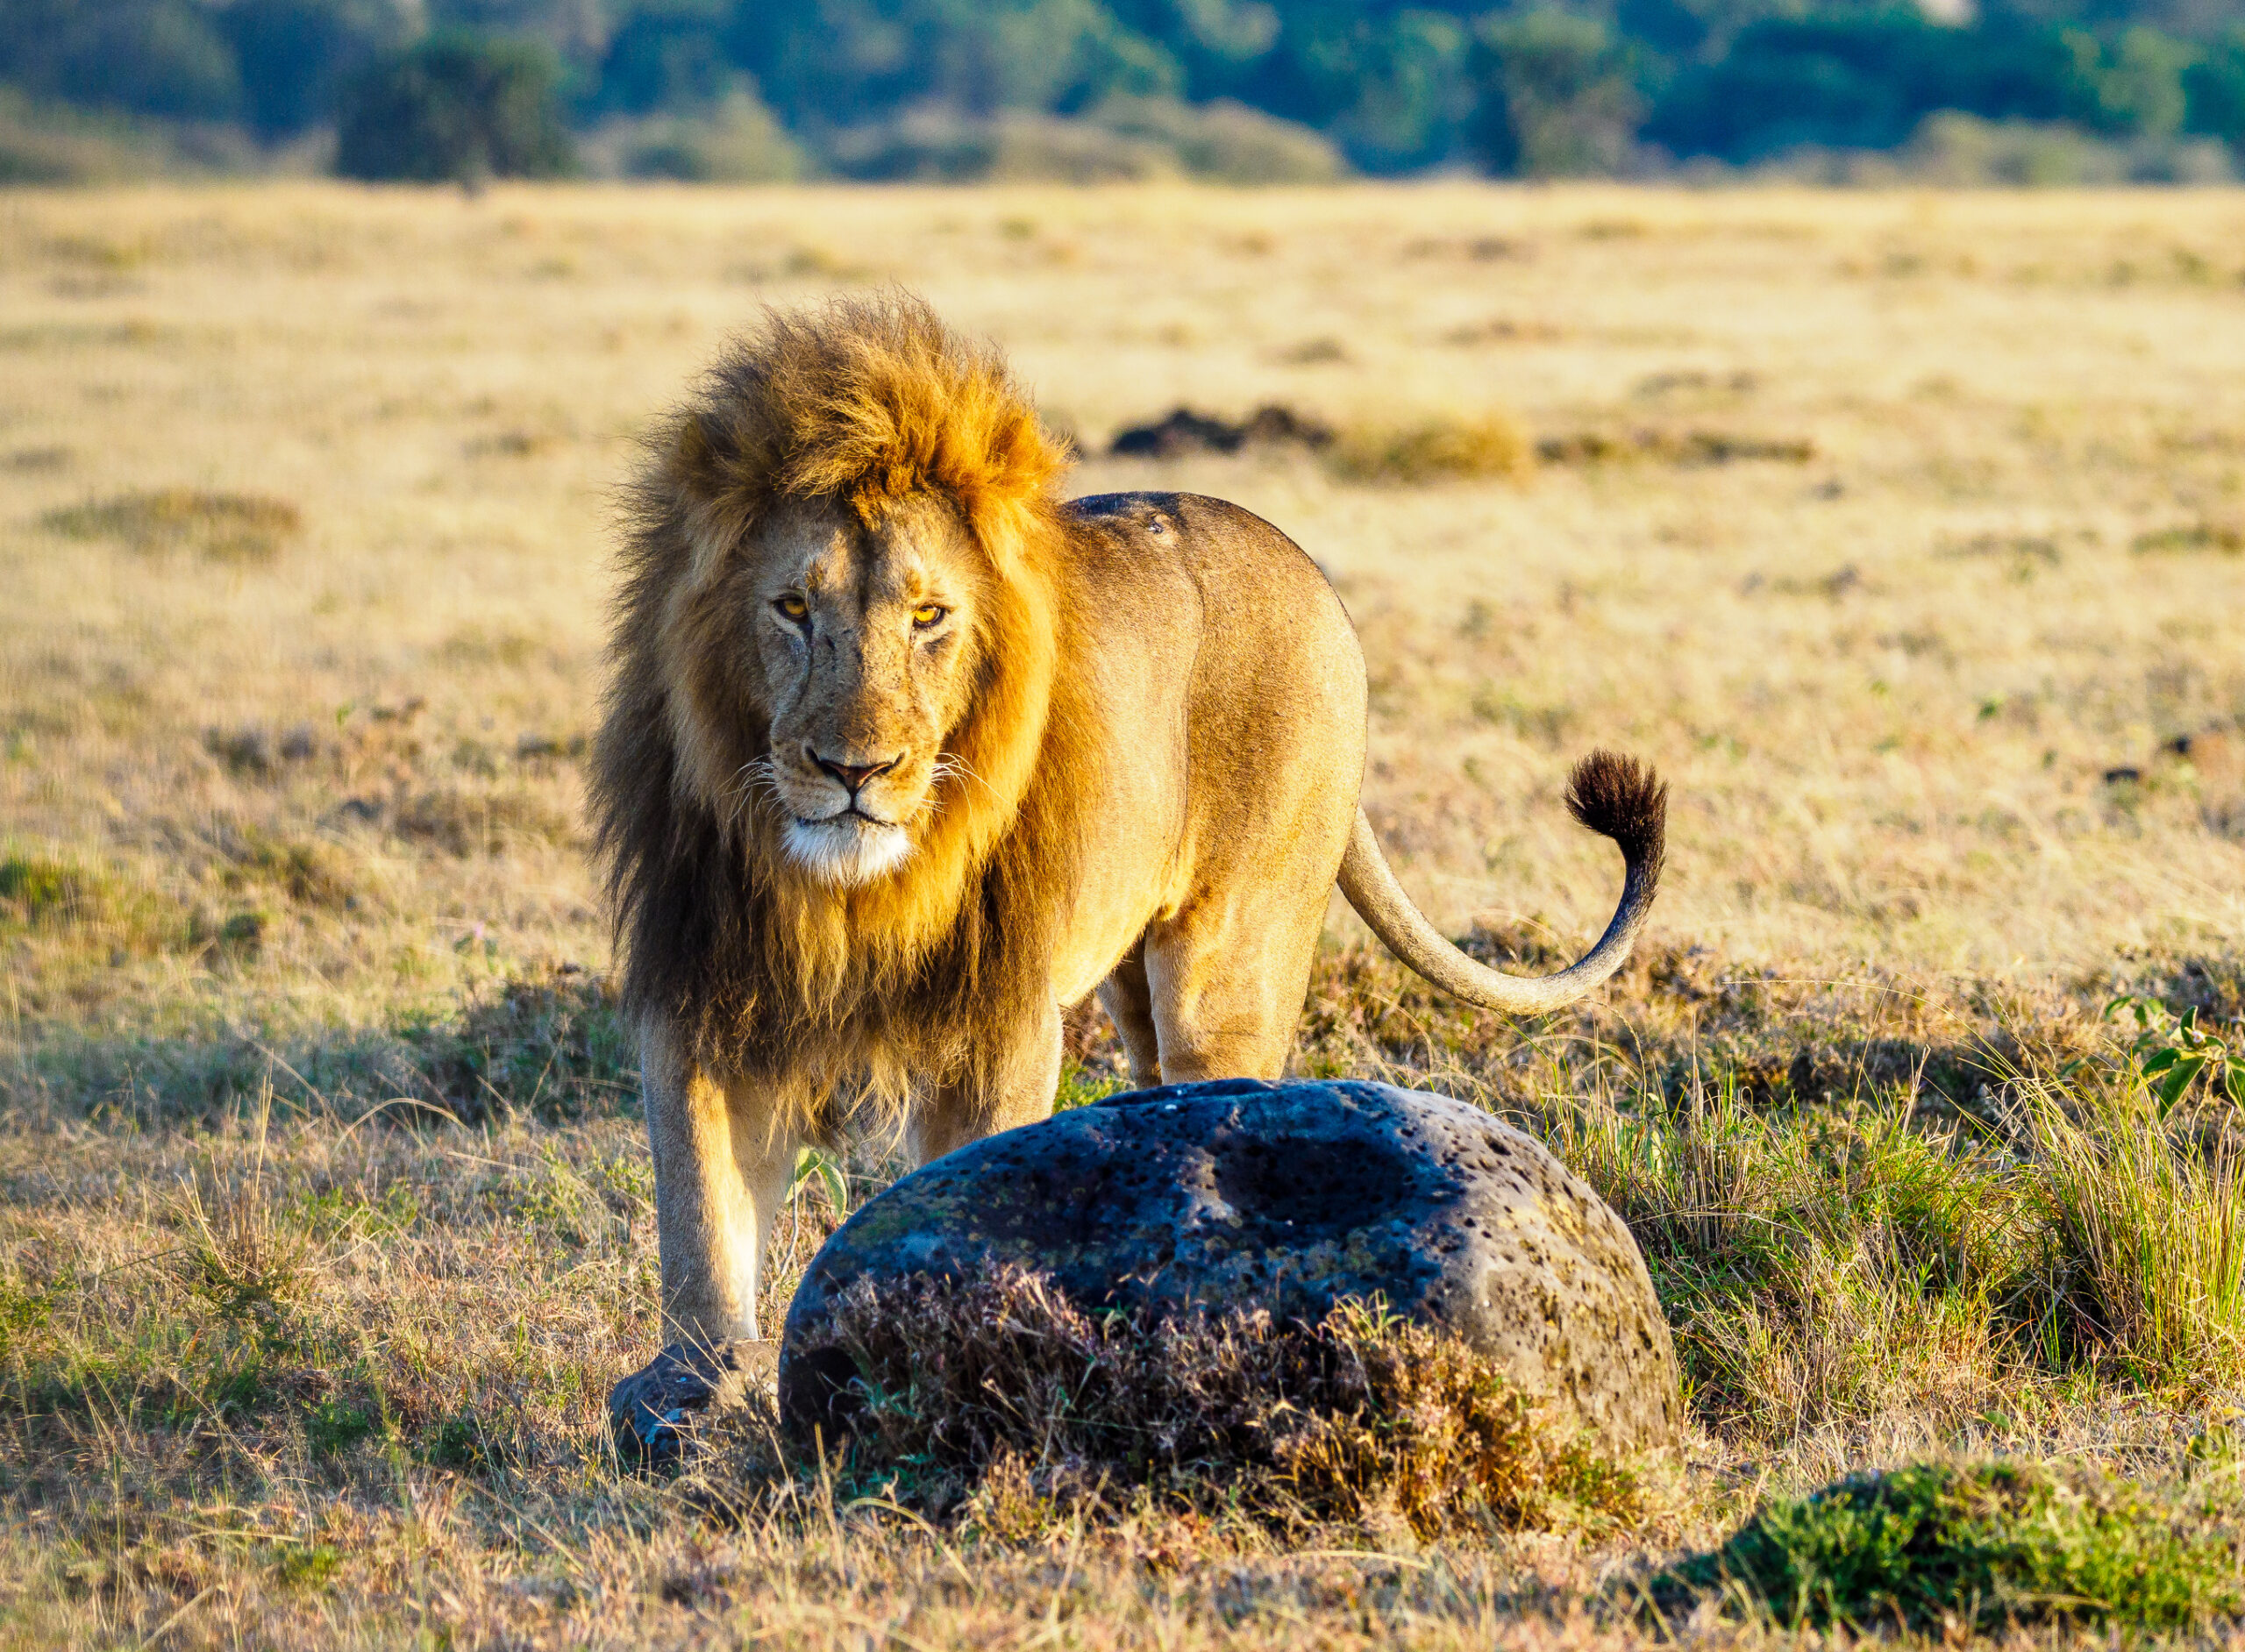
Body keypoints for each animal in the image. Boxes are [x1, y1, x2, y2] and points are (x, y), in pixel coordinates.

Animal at [591, 294, 1666, 1368]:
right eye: (790, 608)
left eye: (929, 616)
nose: (854, 772)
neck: (852, 894)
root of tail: (1313, 577)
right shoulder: (703, 994)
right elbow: (698, 1231)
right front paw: (697, 1391)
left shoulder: (997, 1027)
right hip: (1131, 983)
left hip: (1227, 967)